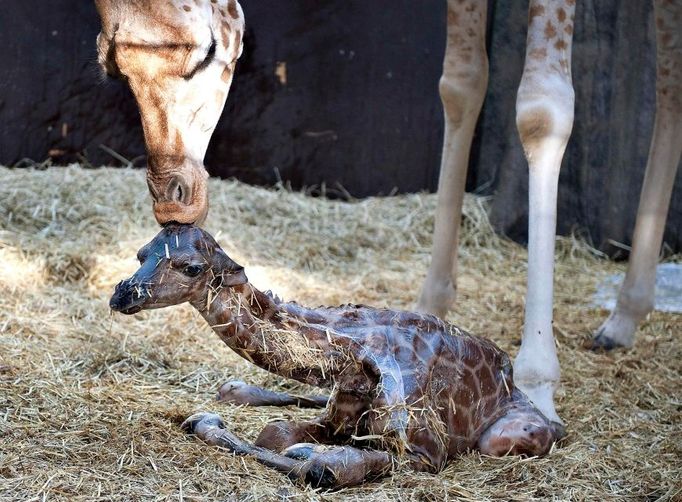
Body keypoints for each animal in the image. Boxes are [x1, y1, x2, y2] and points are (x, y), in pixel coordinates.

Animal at [93, 0, 676, 426]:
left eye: (209, 52)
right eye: (110, 64)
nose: (173, 200)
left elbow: (541, 108)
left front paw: (538, 387)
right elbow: (460, 83)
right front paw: (431, 307)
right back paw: (623, 319)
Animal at [110, 226, 564, 488]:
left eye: (190, 267)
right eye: (141, 254)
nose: (122, 294)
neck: (359, 354)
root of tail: (512, 381)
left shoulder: (425, 453)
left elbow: (321, 468)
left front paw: (311, 456)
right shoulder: (341, 414)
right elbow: (275, 431)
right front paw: (209, 419)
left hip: (503, 438)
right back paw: (236, 390)